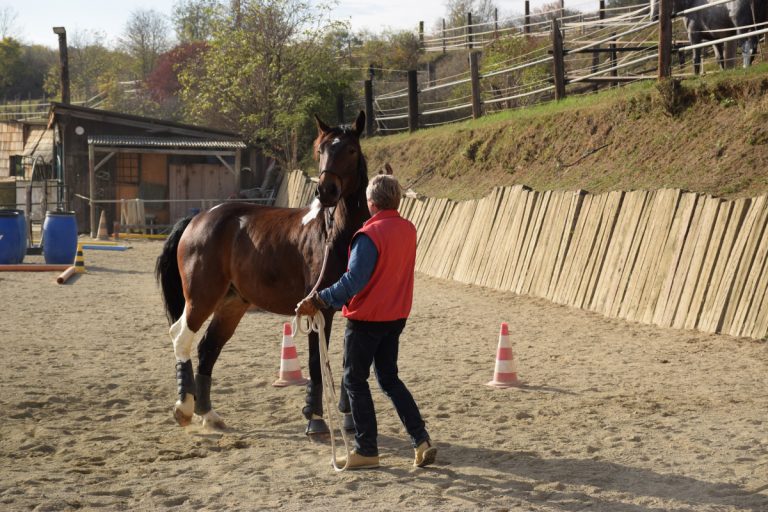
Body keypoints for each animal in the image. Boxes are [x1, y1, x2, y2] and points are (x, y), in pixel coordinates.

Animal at [154, 110, 370, 434]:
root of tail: (198, 219)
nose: (326, 191)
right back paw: (184, 407)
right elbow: (316, 365)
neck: (335, 233)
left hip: (232, 304)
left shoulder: (352, 309)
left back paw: (209, 414)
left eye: (351, 150)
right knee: (181, 337)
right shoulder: (317, 309)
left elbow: (347, 364)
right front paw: (315, 419)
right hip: (201, 299)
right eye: (321, 150)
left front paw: (348, 419)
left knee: (207, 349)